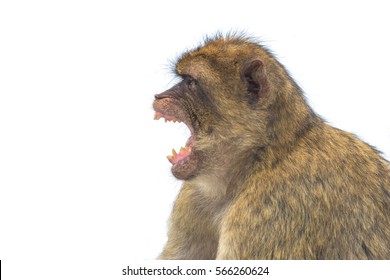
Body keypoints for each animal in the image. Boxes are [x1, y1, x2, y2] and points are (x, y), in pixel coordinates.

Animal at [152, 33, 390, 260]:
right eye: (183, 80)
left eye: (190, 82)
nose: (159, 96)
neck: (263, 156)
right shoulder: (193, 199)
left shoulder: (272, 208)